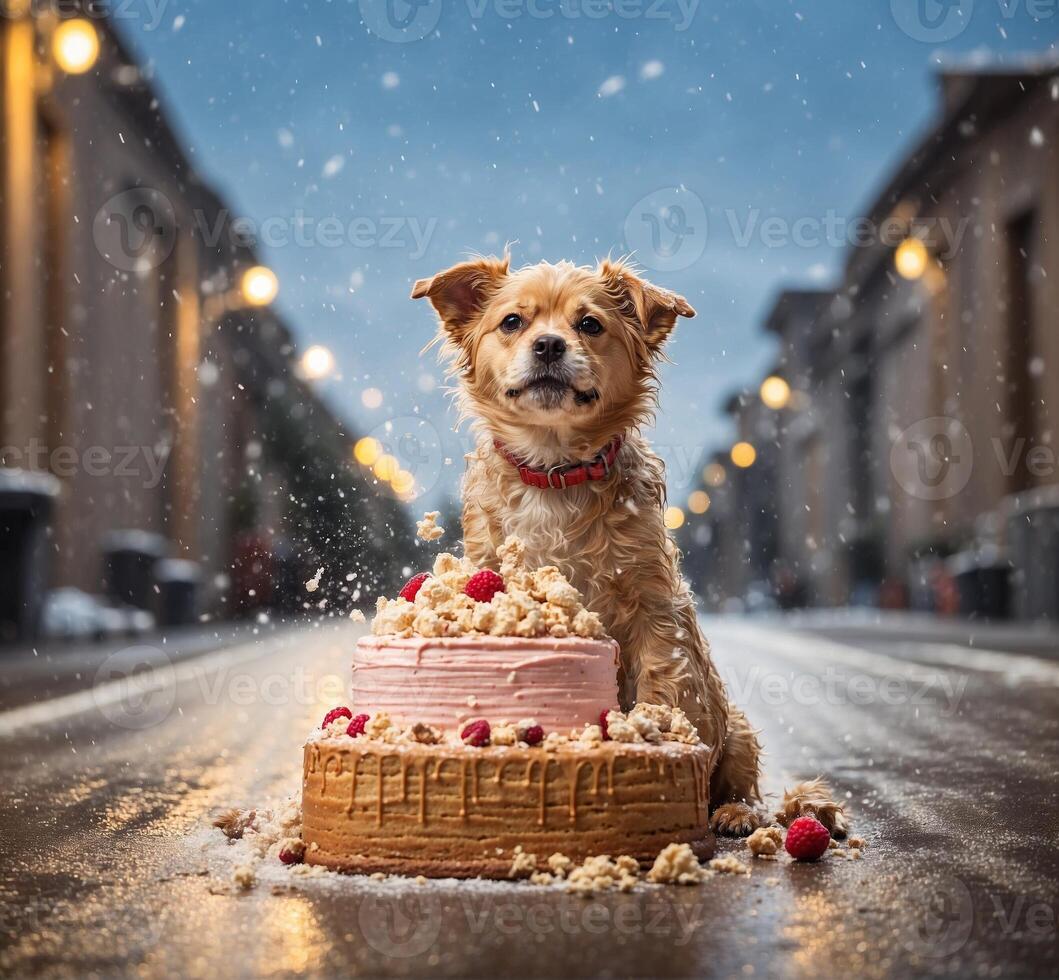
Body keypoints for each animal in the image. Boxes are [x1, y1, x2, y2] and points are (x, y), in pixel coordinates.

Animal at [413, 254, 842, 834]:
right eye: (512, 322)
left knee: (743, 784)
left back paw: (734, 812)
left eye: (590, 324)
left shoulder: (655, 608)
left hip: (737, 731)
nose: (549, 345)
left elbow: (661, 680)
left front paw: (651, 734)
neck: (555, 471)